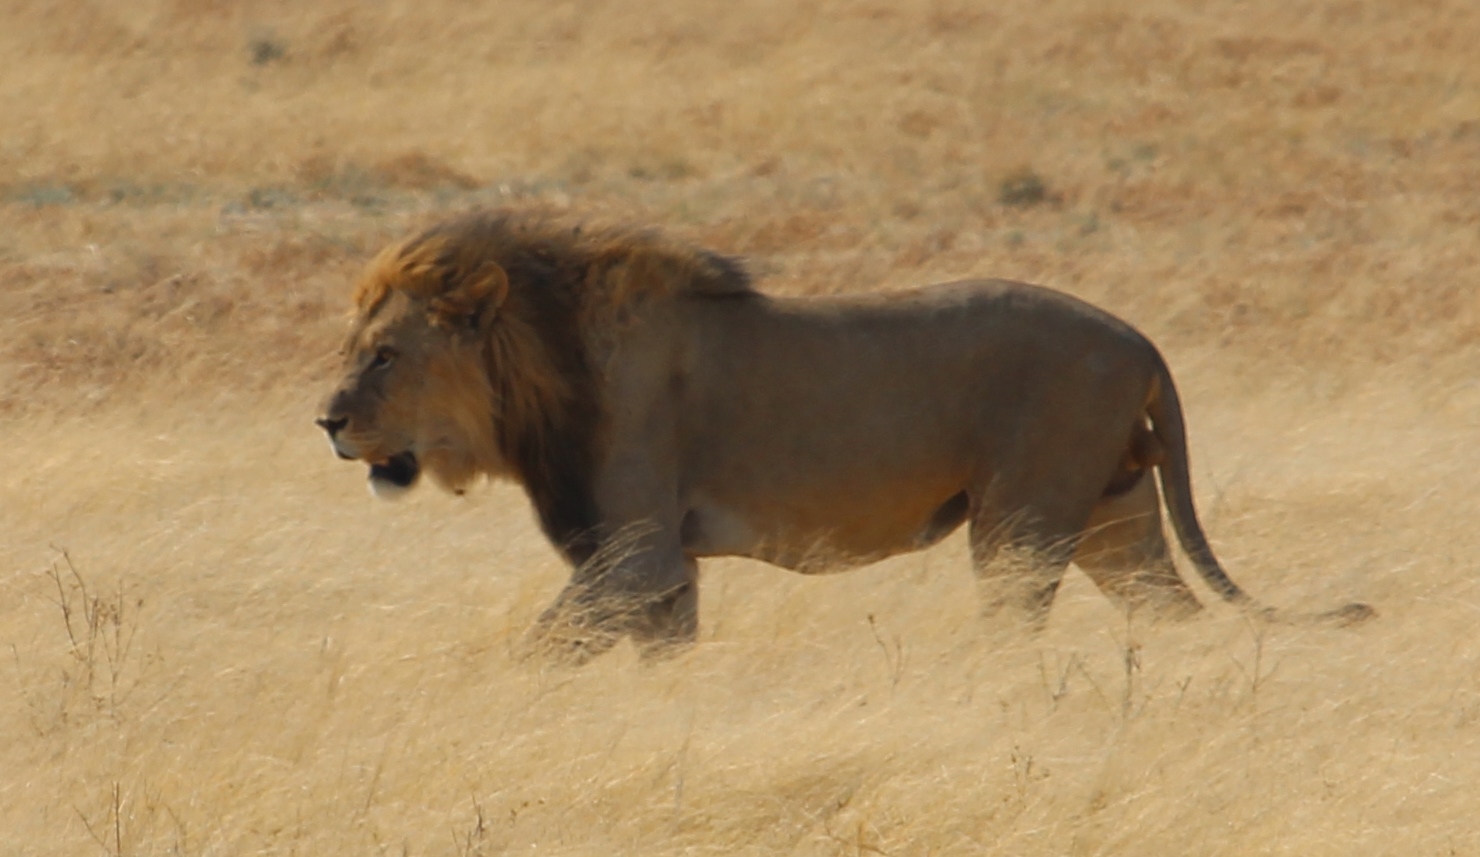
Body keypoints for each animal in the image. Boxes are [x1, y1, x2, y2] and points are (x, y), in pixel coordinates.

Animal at [316, 209, 1374, 662]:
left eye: (385, 356)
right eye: (354, 347)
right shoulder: (667, 571)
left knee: (1015, 627)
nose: (325, 421)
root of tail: (1138, 335)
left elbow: (534, 650)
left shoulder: (634, 554)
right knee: (1173, 613)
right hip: (1118, 516)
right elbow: (660, 664)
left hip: (1022, 521)